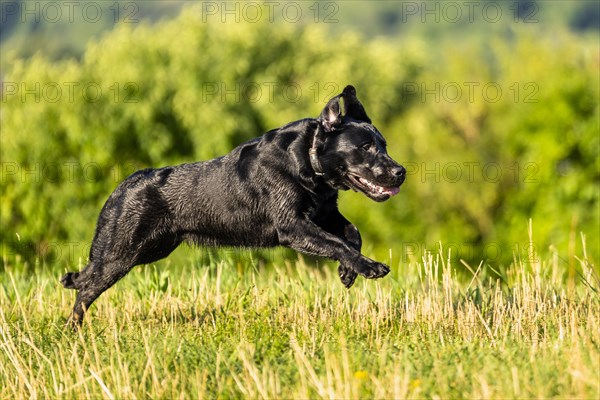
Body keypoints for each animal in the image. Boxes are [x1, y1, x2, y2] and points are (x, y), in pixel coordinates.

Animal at [61, 86, 406, 324]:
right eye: (365, 147)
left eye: (384, 145)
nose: (400, 171)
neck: (307, 160)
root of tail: (123, 186)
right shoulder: (294, 226)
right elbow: (338, 243)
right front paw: (369, 267)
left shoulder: (325, 214)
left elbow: (352, 234)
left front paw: (348, 272)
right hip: (121, 255)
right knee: (85, 289)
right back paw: (73, 330)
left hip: (150, 250)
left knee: (84, 281)